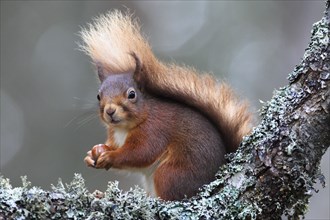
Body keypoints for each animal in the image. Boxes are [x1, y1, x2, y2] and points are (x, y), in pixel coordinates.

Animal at [81, 10, 251, 200]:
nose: (110, 111)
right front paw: (95, 152)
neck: (124, 128)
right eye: (98, 96)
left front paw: (110, 156)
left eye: (132, 94)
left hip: (170, 175)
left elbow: (140, 153)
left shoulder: (154, 130)